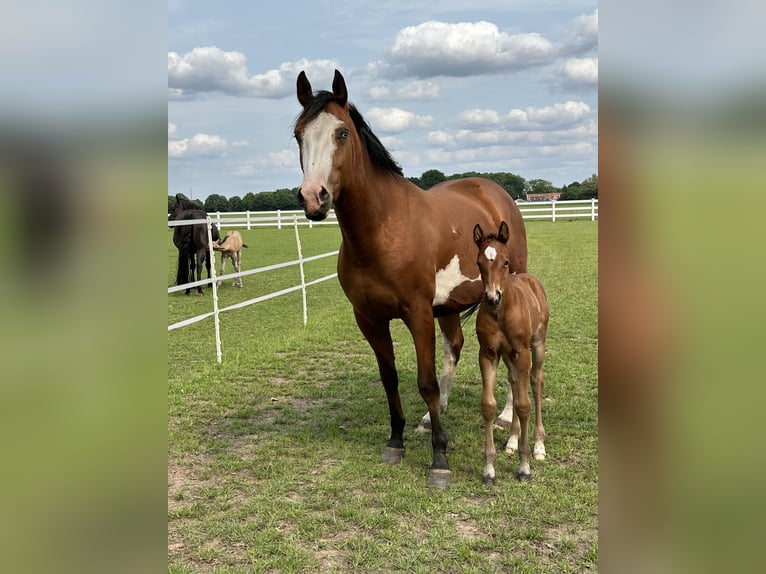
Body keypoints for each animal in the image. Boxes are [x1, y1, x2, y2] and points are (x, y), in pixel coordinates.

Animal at [293, 69, 528, 487]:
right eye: (298, 134)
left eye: (342, 133)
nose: (313, 198)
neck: (383, 229)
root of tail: (494, 191)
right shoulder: (369, 318)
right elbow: (390, 378)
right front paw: (397, 440)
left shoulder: (417, 314)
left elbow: (425, 381)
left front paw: (440, 460)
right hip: (448, 306)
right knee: (455, 347)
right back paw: (434, 417)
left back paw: (504, 419)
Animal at [473, 221, 548, 484]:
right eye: (478, 263)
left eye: (505, 262)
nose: (492, 297)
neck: (501, 313)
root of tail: (529, 277)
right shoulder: (488, 353)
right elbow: (488, 405)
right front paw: (489, 469)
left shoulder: (522, 352)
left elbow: (524, 405)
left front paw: (524, 466)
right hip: (508, 356)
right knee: (515, 382)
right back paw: (513, 441)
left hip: (537, 345)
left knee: (535, 382)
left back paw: (538, 446)